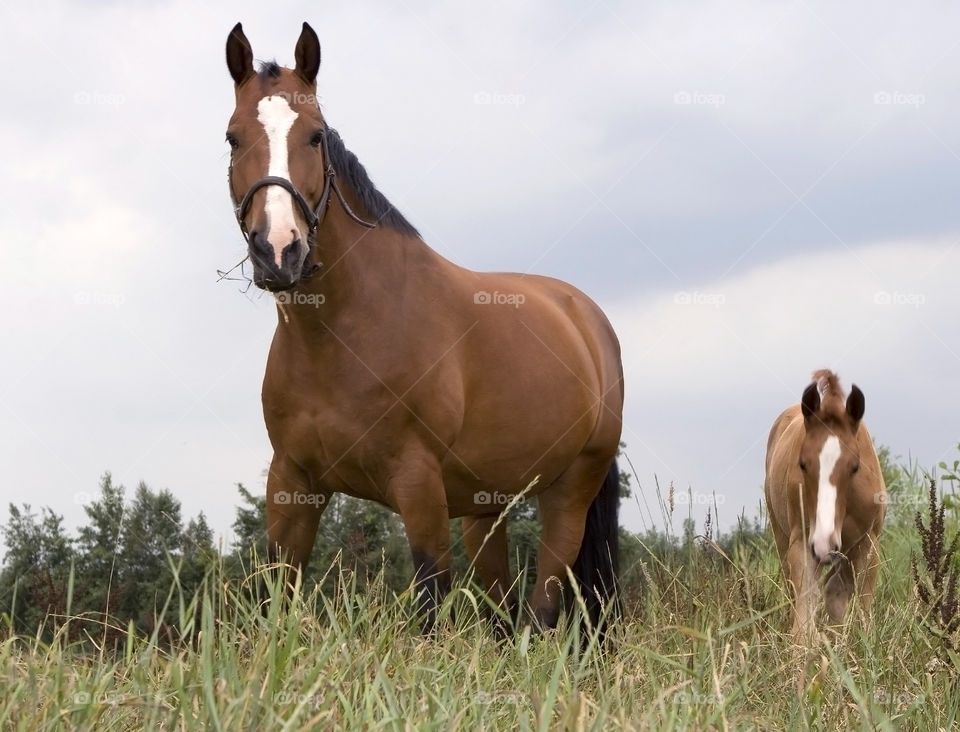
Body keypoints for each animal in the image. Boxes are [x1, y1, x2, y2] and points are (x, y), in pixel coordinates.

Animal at [223, 22, 624, 634]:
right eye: (232, 138)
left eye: (316, 137)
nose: (278, 250)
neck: (343, 335)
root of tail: (585, 318)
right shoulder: (291, 484)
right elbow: (278, 600)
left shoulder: (419, 488)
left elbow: (431, 607)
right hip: (485, 511)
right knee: (503, 614)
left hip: (569, 492)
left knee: (541, 612)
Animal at [764, 369, 886, 639]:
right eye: (802, 464)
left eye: (855, 466)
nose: (824, 543)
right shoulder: (803, 542)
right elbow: (804, 616)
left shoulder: (868, 544)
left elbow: (860, 606)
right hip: (782, 536)